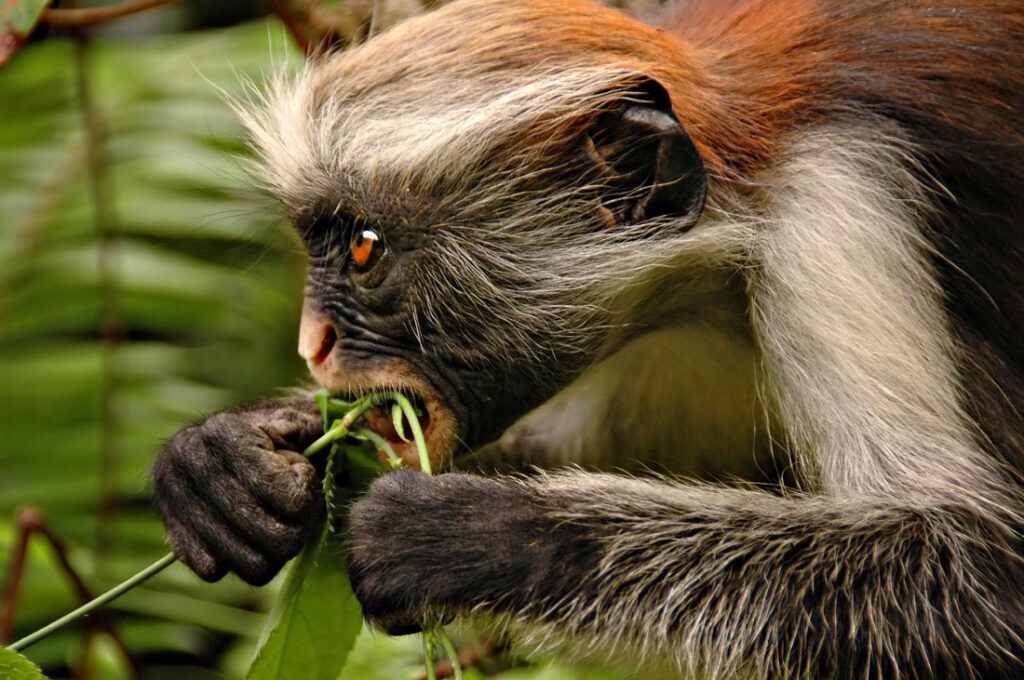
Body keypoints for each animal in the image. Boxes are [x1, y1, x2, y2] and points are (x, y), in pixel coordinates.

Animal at [151, 0, 1024, 677]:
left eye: (364, 248)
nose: (314, 346)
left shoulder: (833, 209)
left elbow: (977, 575)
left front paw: (478, 539)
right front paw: (232, 456)